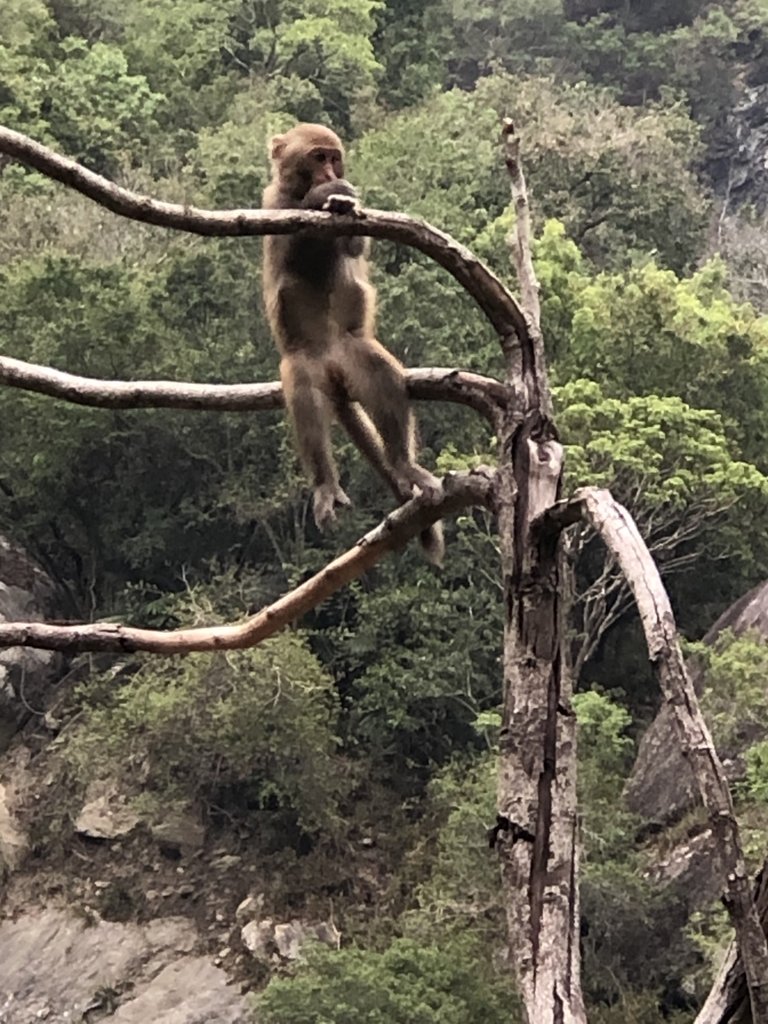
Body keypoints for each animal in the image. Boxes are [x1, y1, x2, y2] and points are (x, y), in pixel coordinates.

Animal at [264, 124, 444, 569]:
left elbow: (353, 246)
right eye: (317, 158)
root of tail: (332, 363)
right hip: (307, 360)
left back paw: (403, 464)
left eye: (334, 157)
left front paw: (340, 201)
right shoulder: (270, 202)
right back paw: (325, 484)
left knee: (380, 377)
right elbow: (284, 250)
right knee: (304, 392)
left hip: (353, 351)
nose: (330, 173)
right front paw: (321, 197)